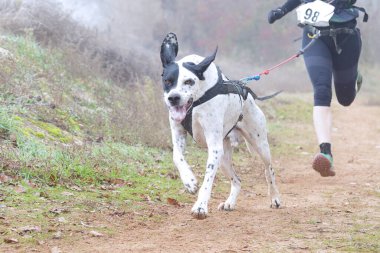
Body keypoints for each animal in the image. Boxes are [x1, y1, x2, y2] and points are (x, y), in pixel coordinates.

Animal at [159, 32, 280, 218]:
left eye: (189, 81)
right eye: (168, 81)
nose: (173, 98)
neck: (196, 101)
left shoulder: (214, 147)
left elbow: (207, 181)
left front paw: (200, 206)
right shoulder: (178, 134)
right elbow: (176, 156)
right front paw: (189, 181)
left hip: (259, 145)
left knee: (269, 170)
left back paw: (274, 198)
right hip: (223, 158)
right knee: (237, 180)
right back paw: (230, 202)